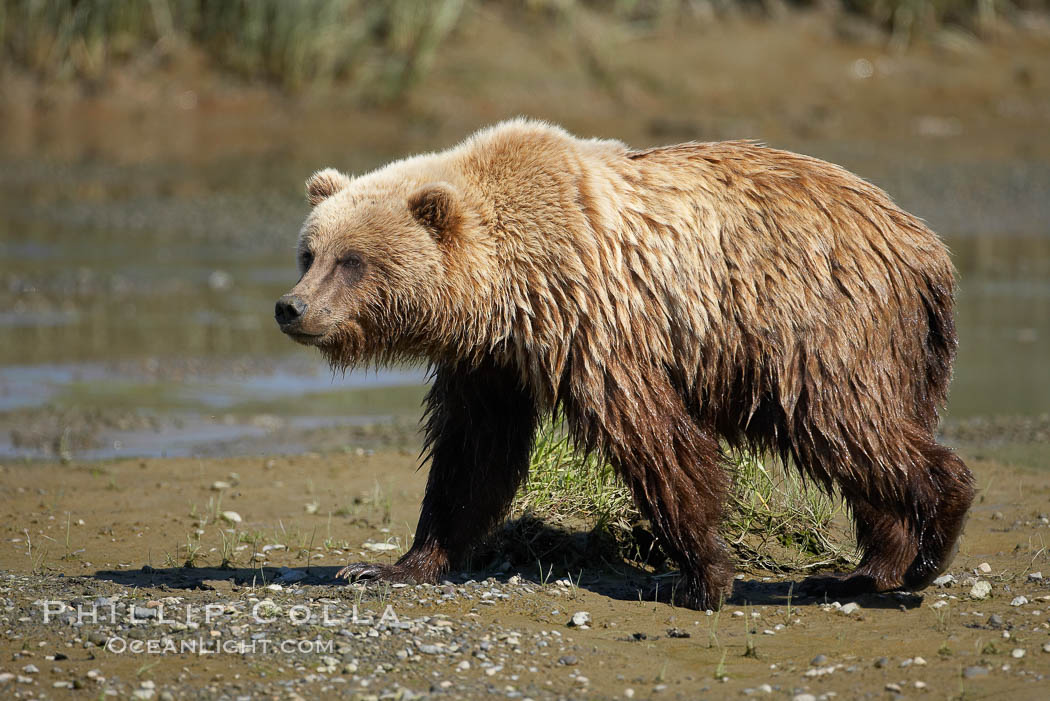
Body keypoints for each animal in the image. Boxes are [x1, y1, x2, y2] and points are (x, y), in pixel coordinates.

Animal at [275, 117, 970, 608]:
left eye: (352, 260)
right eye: (309, 252)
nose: (291, 307)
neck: (508, 287)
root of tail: (926, 245)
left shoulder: (596, 325)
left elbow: (654, 439)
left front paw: (704, 576)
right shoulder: (492, 362)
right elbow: (471, 458)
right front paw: (392, 564)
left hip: (820, 326)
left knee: (847, 425)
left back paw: (933, 537)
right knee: (859, 445)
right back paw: (871, 568)